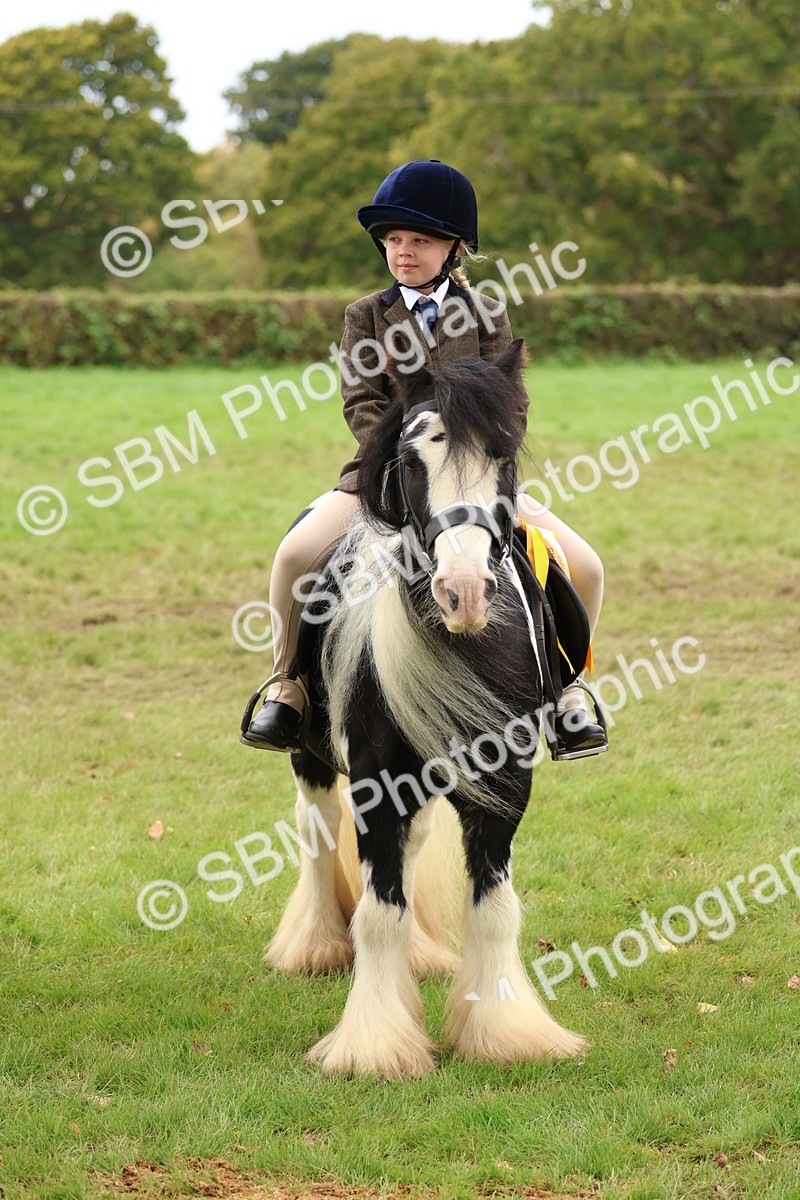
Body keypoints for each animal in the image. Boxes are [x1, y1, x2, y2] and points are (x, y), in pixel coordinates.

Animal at [260, 337, 587, 1078]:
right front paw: (375, 1046)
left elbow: (493, 909)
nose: (462, 592)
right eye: (412, 462)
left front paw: (505, 1033)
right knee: (318, 831)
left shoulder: (504, 782)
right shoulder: (376, 781)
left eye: (503, 456)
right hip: (311, 755)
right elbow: (378, 911)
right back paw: (316, 945)